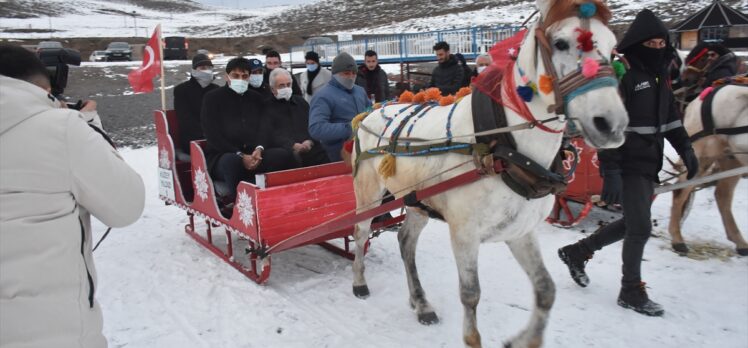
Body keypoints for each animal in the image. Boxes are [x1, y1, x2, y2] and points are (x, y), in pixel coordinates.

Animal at [350, 1, 624, 346]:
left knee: (406, 242)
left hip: (416, 201)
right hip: (369, 193)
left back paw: (421, 303)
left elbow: (546, 290)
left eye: (613, 47)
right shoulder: (464, 234)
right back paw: (359, 282)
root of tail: (372, 111)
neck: (503, 146)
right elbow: (470, 295)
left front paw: (523, 339)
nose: (612, 124)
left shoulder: (520, 232)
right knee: (361, 233)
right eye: (561, 43)